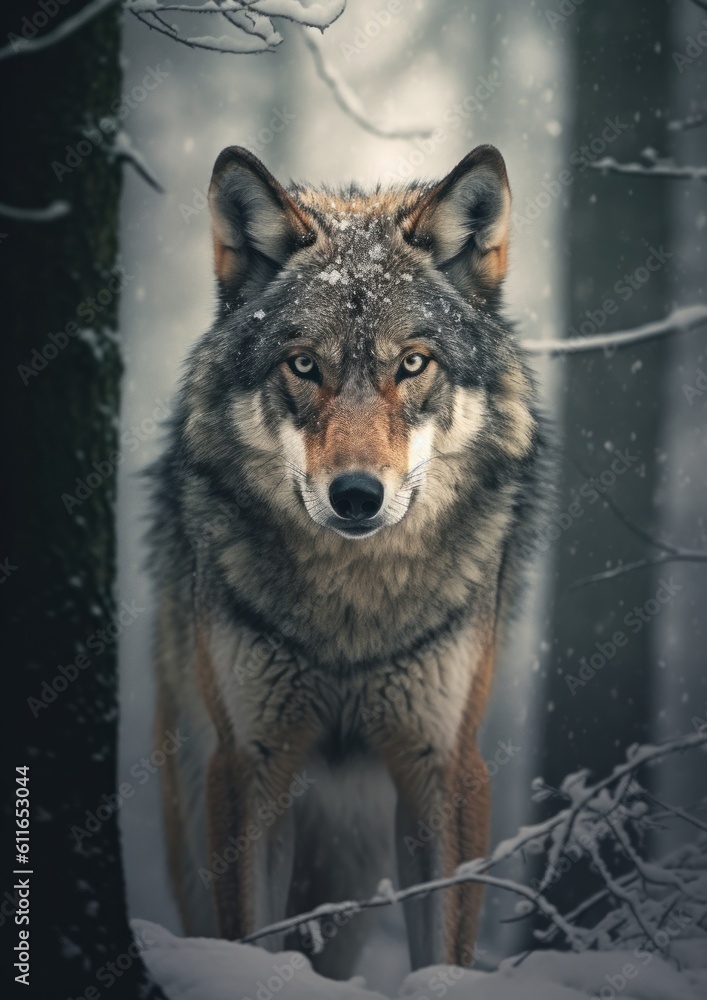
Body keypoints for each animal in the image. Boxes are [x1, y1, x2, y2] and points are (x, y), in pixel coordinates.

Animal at [148, 143, 547, 979]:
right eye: (303, 365)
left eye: (413, 364)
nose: (357, 496)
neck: (350, 611)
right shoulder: (248, 762)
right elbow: (248, 935)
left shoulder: (445, 764)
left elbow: (444, 950)